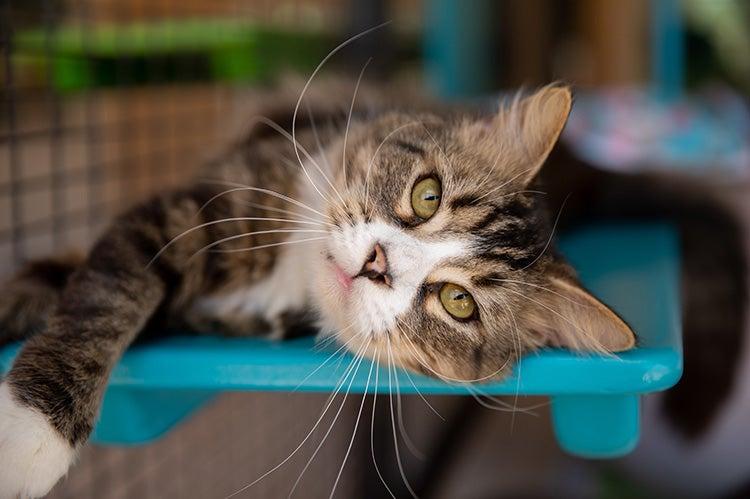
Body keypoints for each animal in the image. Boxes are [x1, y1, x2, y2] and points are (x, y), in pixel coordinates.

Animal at [0, 81, 640, 496]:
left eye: (458, 303)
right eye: (427, 195)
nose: (378, 265)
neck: (293, 271)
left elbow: (96, 295)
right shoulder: (180, 215)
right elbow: (103, 299)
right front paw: (28, 433)